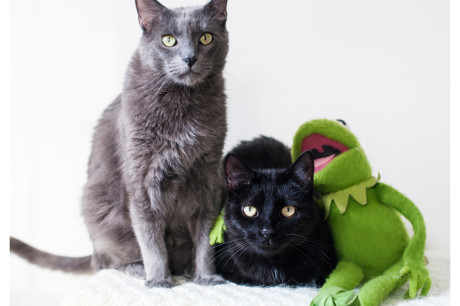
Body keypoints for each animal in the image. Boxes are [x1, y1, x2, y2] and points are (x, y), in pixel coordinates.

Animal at [9, 0, 228, 288]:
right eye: (168, 40)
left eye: (205, 38)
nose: (190, 58)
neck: (184, 103)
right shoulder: (143, 178)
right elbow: (151, 239)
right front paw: (159, 280)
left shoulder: (208, 176)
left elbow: (205, 239)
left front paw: (207, 276)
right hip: (102, 213)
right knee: (106, 262)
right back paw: (140, 270)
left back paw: (189, 270)